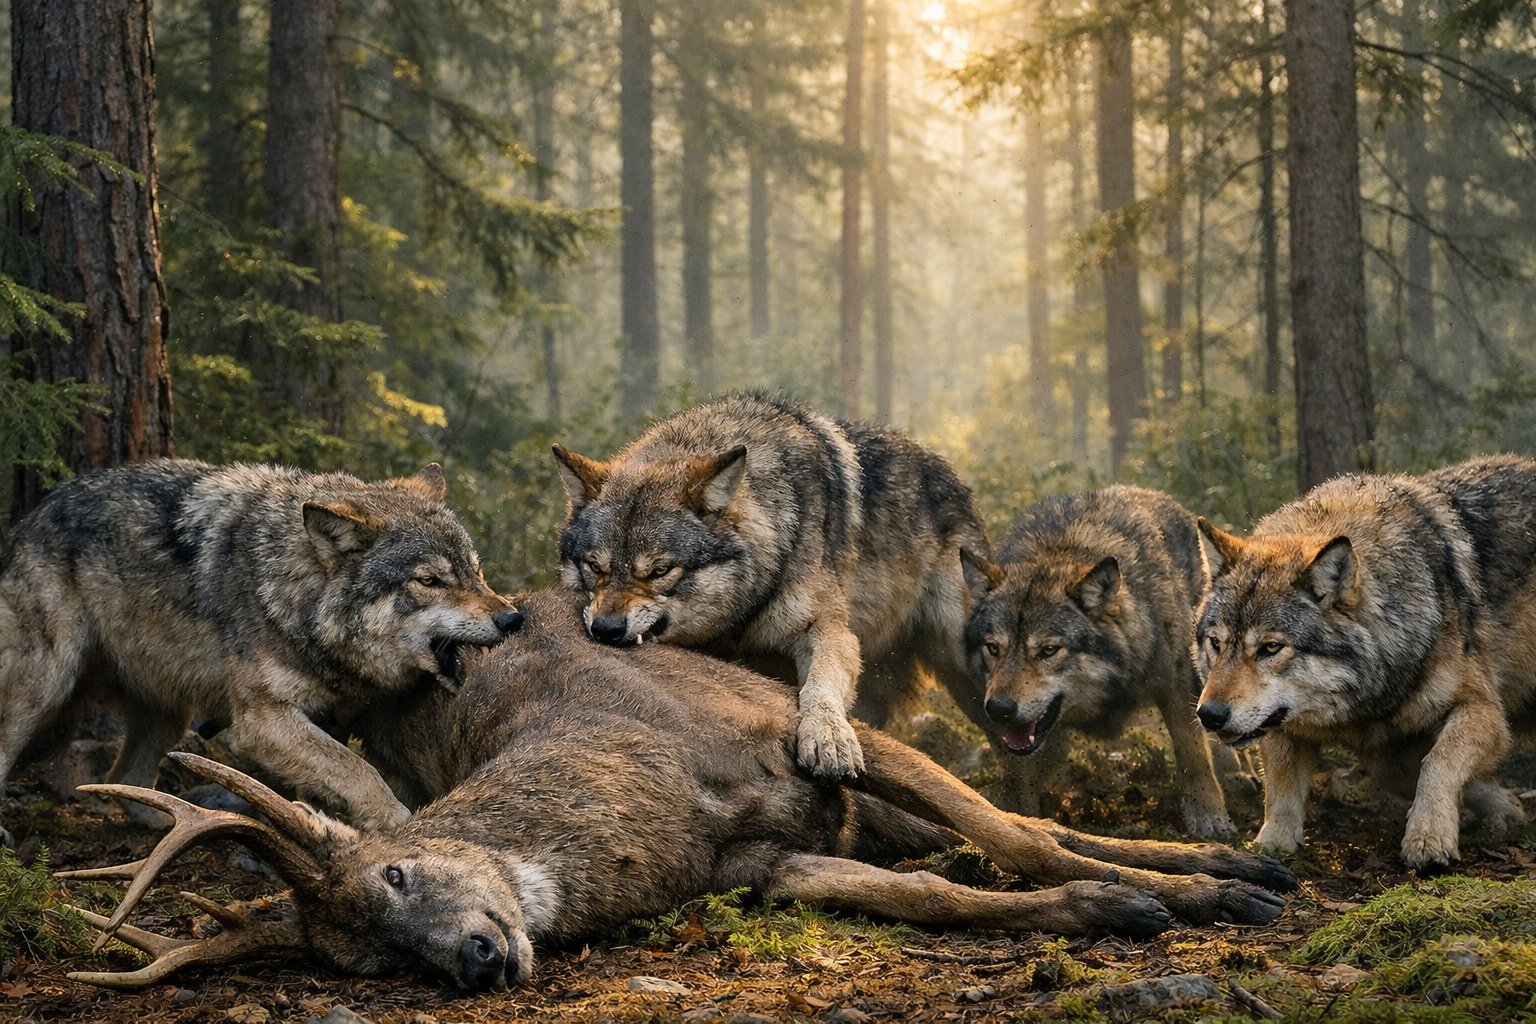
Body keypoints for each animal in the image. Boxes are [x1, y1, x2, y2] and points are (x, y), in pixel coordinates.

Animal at [0, 459, 522, 836]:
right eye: (430, 581)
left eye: (477, 572)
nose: (513, 619)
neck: (295, 592)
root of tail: (36, 510)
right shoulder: (260, 721)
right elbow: (357, 770)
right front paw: (397, 826)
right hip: (45, 687)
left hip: (169, 711)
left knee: (126, 780)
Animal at [61, 589, 1294, 991]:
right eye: (367, 962)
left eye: (396, 874)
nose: (475, 959)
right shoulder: (760, 867)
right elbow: (948, 903)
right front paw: (1111, 909)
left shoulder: (811, 736)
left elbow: (1021, 839)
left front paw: (1183, 898)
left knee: (1031, 814)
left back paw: (1234, 863)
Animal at [550, 392, 991, 780]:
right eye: (595, 567)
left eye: (659, 571)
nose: (606, 630)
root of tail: (950, 474)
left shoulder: (829, 631)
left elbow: (819, 687)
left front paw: (829, 739)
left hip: (967, 668)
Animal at [960, 486, 1235, 836]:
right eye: (993, 648)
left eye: (1048, 650)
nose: (998, 709)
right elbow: (1021, 771)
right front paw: (1013, 815)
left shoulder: (1174, 680)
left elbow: (1193, 753)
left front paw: (1209, 816)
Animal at [1193, 455, 1536, 869]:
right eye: (1216, 643)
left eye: (1270, 648)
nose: (1209, 715)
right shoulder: (1324, 735)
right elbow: (1283, 782)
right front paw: (1273, 843)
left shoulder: (1483, 709)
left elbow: (1438, 761)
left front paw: (1429, 837)